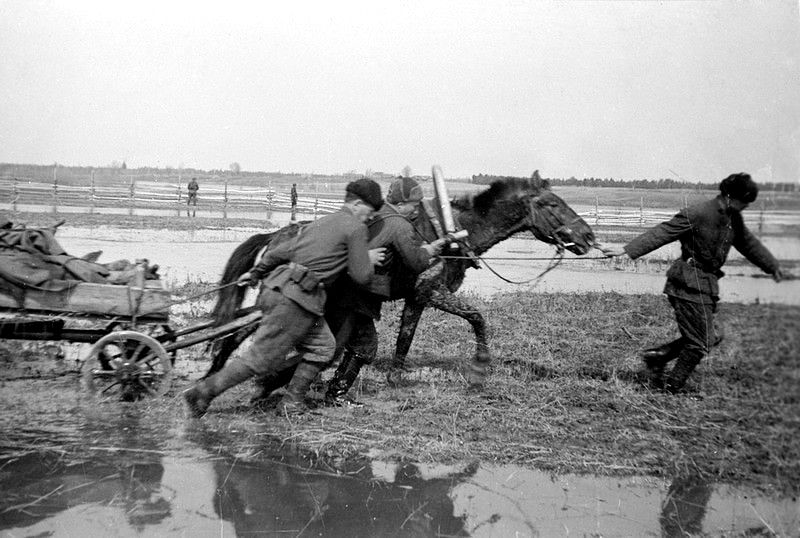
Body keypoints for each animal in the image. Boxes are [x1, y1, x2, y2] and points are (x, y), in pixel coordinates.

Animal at [205, 175, 592, 386]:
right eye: (552, 204)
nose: (587, 236)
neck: (450, 234)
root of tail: (276, 235)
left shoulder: (417, 298)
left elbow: (406, 337)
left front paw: (394, 376)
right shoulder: (431, 292)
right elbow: (477, 318)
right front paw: (480, 368)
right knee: (237, 331)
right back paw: (215, 369)